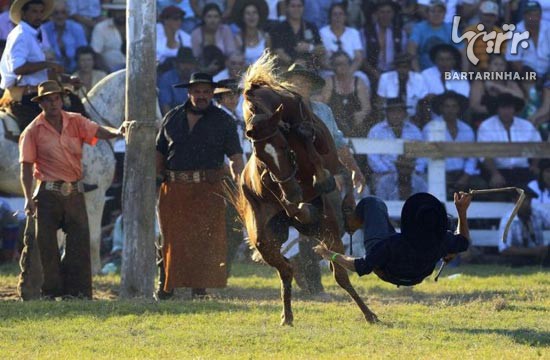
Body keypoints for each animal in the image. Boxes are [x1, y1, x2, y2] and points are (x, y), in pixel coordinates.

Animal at [229, 52, 380, 324]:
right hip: (264, 236)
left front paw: (321, 180)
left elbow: (313, 144)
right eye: (261, 158)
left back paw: (368, 313)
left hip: (329, 227)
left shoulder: (323, 149)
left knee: (338, 271)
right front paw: (302, 204)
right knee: (287, 268)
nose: (292, 193)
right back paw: (287, 315)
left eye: (283, 147)